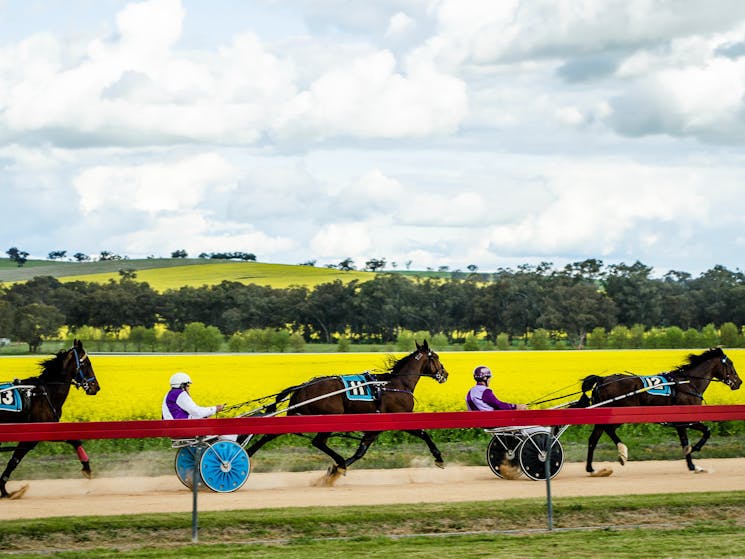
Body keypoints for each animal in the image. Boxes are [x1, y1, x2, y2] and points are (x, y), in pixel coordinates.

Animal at [0, 340, 100, 500]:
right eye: (86, 363)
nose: (95, 387)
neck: (44, 393)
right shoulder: (36, 433)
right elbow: (13, 462)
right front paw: (86, 467)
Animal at [247, 342, 448, 482]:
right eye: (436, 357)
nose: (445, 374)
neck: (395, 385)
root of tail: (302, 387)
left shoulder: (375, 426)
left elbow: (361, 450)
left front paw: (334, 471)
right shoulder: (397, 418)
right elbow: (423, 434)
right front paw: (438, 457)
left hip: (299, 416)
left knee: (271, 435)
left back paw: (248, 453)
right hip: (329, 417)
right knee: (318, 441)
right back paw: (340, 461)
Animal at [568, 348, 740, 474]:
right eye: (730, 364)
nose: (739, 382)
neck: (688, 383)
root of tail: (601, 380)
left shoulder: (680, 422)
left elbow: (685, 442)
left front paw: (693, 466)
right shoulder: (688, 420)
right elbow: (707, 431)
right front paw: (696, 449)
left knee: (593, 439)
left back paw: (591, 468)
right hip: (622, 412)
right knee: (609, 430)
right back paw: (622, 453)